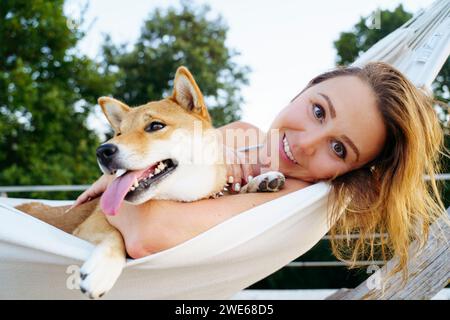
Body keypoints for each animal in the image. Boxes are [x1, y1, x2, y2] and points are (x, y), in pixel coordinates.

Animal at [17, 66, 286, 298]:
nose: (102, 151)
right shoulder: (89, 224)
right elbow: (115, 236)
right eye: (119, 133)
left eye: (155, 125)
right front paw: (102, 270)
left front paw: (261, 181)